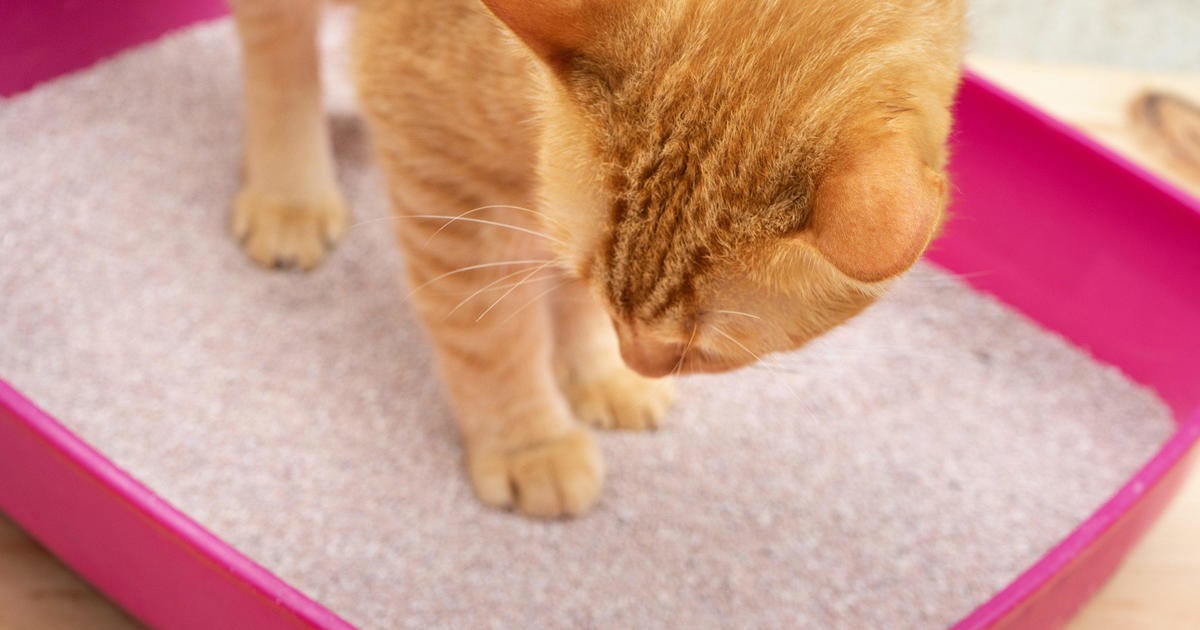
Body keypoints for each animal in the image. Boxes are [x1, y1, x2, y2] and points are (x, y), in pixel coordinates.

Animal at [229, 0, 964, 518]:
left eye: (702, 350)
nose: (638, 358)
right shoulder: (438, 161)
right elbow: (488, 338)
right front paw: (529, 440)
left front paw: (598, 373)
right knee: (276, 51)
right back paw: (290, 194)